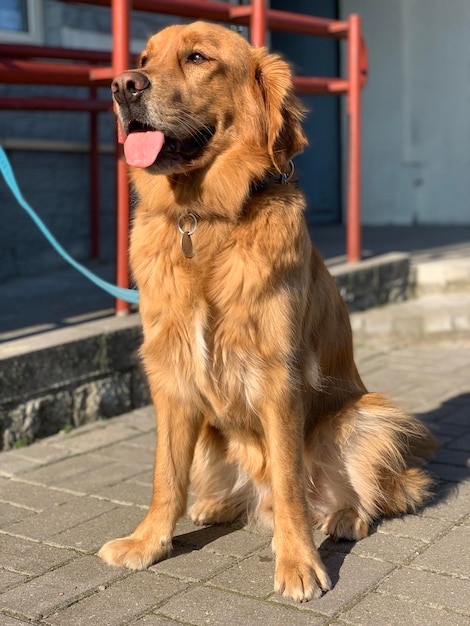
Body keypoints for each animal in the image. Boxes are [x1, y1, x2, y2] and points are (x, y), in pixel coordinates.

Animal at [99, 23, 436, 600]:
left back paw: (344, 516)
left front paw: (298, 561)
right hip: (212, 433)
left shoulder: (279, 375)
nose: (123, 85)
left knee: (363, 494)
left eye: (197, 57)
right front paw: (148, 542)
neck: (203, 219)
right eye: (143, 57)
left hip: (368, 418)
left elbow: (289, 480)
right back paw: (217, 505)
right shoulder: (170, 374)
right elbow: (166, 476)